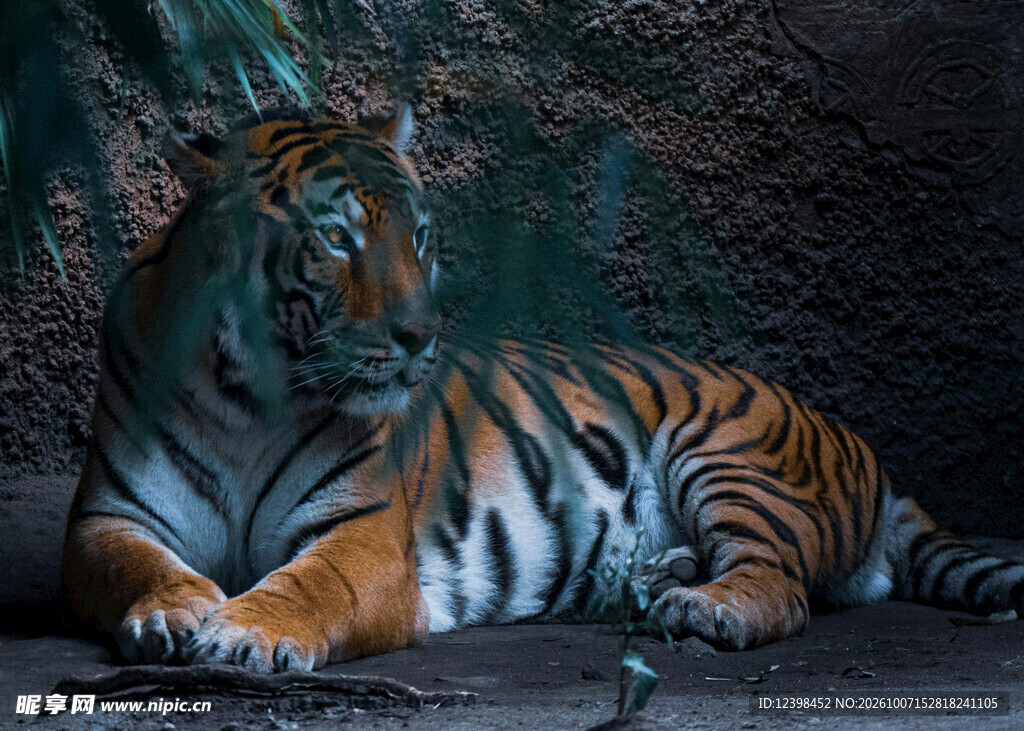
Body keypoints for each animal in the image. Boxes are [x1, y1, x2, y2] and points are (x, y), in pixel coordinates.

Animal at [62, 105, 1024, 673]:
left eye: (419, 235)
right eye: (336, 238)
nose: (421, 336)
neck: (248, 398)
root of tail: (864, 449)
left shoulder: (366, 537)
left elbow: (307, 585)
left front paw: (244, 630)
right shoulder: (109, 517)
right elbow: (137, 565)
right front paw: (174, 611)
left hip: (727, 455)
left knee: (779, 584)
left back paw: (700, 606)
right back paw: (655, 579)